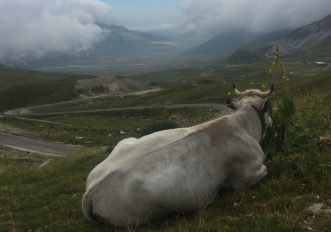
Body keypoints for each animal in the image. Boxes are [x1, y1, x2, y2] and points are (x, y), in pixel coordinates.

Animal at [81, 85, 274, 227]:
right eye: (268, 111)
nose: (271, 122)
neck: (242, 124)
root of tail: (90, 192)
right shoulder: (245, 178)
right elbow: (265, 169)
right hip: (136, 219)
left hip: (126, 141)